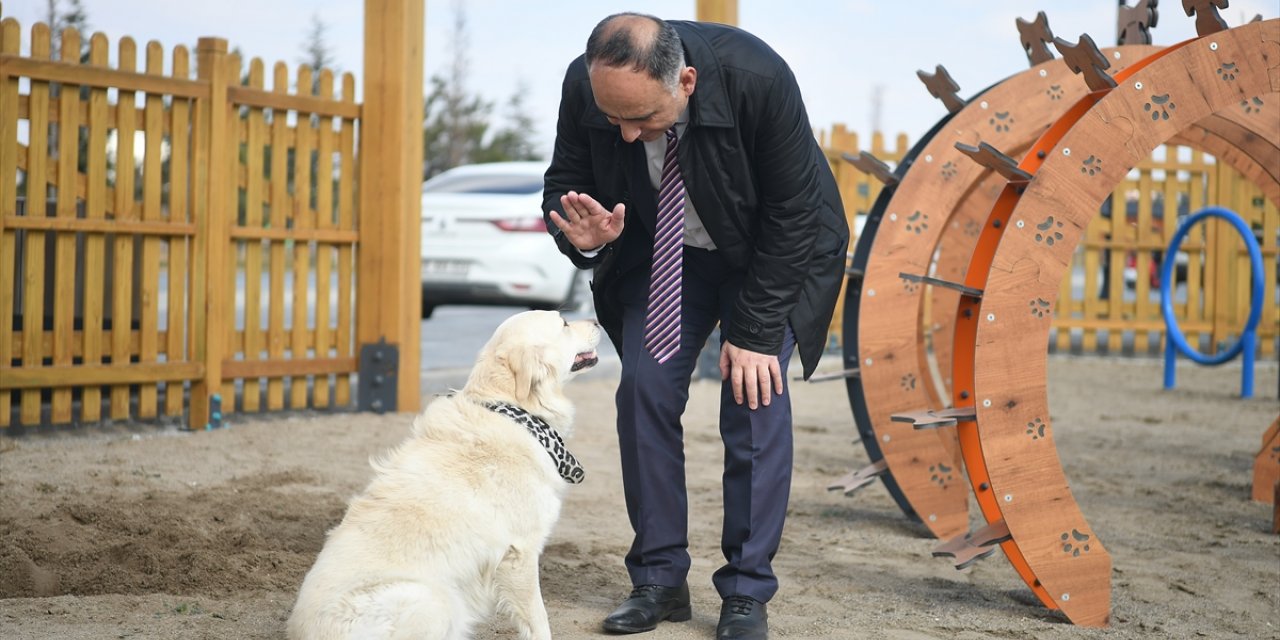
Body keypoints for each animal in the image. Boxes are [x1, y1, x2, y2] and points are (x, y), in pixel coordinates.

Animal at [293, 311, 601, 640]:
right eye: (564, 323)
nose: (597, 321)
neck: (514, 409)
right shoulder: (519, 554)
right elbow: (538, 619)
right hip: (433, 599)